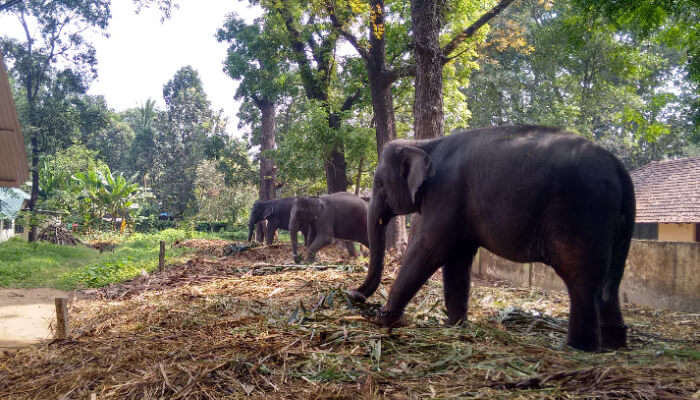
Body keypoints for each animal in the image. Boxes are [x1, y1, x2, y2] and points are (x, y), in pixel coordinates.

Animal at [348, 126, 636, 354]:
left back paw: (578, 348)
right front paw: (455, 326)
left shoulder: (445, 194)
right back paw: (614, 344)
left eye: (379, 184)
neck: (425, 143)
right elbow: (457, 259)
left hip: (581, 214)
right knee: (610, 282)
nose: (354, 295)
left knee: (580, 280)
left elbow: (429, 249)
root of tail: (620, 168)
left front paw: (383, 320)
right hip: (616, 226)